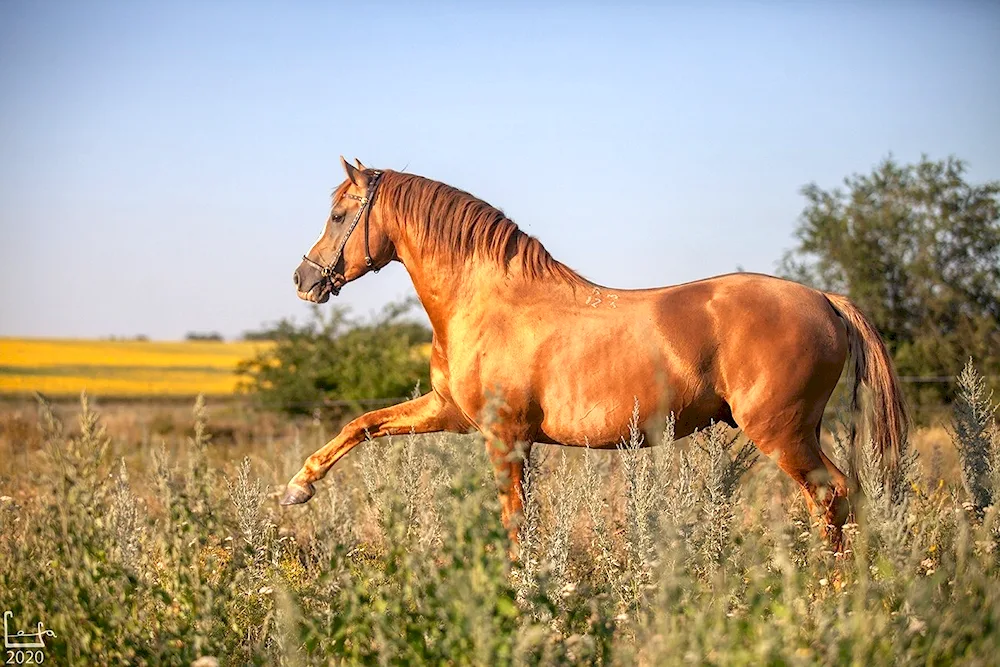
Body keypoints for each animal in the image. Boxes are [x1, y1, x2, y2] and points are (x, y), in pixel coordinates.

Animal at [280, 158, 908, 548]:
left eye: (339, 214)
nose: (303, 280)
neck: (486, 299)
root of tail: (823, 298)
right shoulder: (451, 413)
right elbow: (362, 424)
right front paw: (297, 488)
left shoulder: (503, 438)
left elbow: (515, 523)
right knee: (841, 498)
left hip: (782, 432)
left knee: (833, 496)